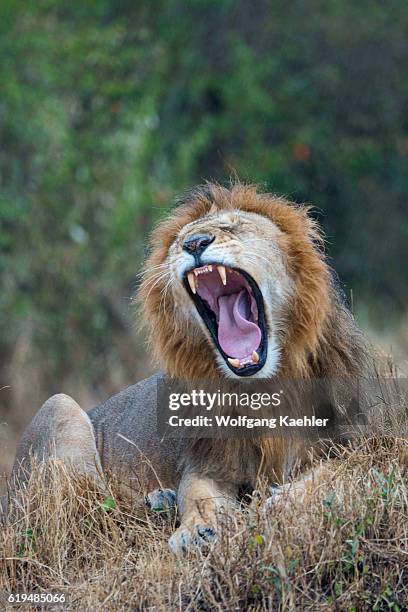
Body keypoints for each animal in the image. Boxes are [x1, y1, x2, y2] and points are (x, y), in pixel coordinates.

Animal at [4, 183, 368, 556]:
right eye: (181, 239)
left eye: (233, 226)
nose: (194, 244)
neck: (264, 388)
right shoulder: (205, 461)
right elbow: (196, 495)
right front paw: (197, 532)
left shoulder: (362, 440)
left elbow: (341, 470)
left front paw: (283, 503)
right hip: (58, 407)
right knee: (88, 513)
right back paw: (159, 501)